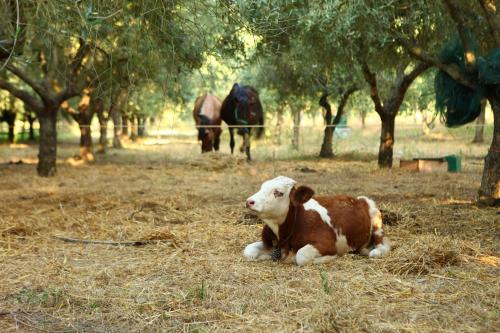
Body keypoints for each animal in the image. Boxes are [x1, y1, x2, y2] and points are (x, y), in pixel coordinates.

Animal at [243, 176, 390, 264]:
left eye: (278, 192)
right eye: (261, 187)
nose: (249, 201)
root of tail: (359, 199)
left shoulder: (327, 244)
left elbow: (301, 256)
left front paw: (329, 257)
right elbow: (248, 251)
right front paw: (264, 256)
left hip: (376, 222)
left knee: (382, 244)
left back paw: (374, 251)